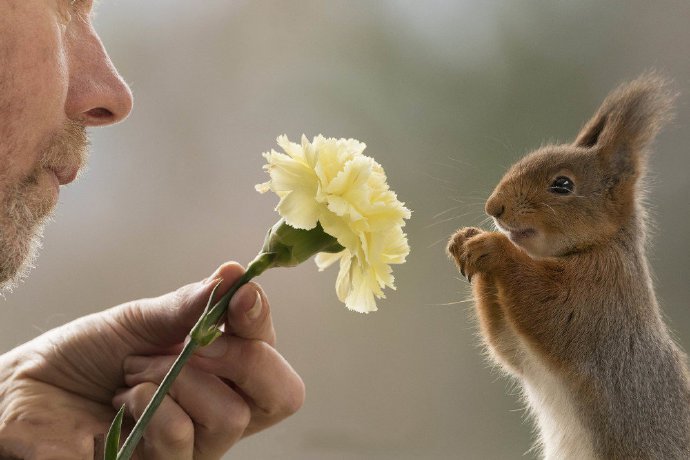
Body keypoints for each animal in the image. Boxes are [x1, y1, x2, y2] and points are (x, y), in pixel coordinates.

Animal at [446, 73, 688, 458]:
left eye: (562, 184)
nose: (493, 207)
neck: (599, 244)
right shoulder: (523, 352)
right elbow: (504, 345)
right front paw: (465, 239)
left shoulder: (600, 295)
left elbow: (550, 307)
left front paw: (494, 247)